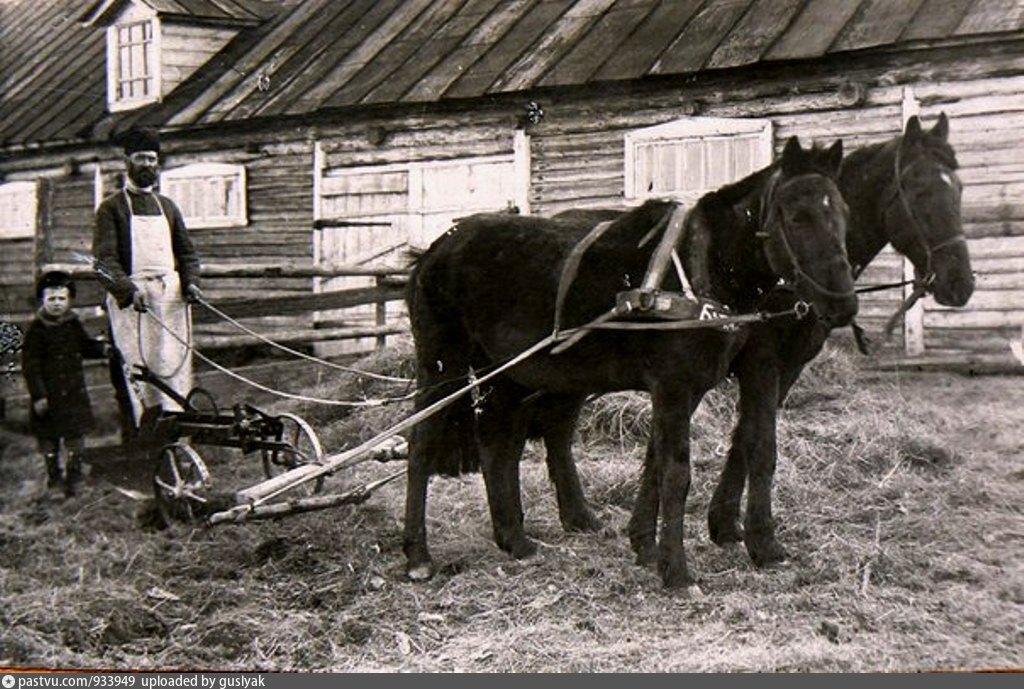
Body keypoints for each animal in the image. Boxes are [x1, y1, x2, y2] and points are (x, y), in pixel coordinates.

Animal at [403, 137, 860, 589]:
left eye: (842, 212)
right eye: (796, 216)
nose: (842, 304)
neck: (702, 269)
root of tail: (435, 249)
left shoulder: (713, 380)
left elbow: (700, 456)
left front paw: (669, 546)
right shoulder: (676, 385)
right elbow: (675, 471)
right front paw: (676, 570)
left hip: (507, 374)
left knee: (498, 444)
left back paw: (515, 539)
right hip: (443, 366)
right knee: (422, 442)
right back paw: (418, 554)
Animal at [540, 115, 970, 569]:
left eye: (959, 188)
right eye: (920, 192)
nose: (961, 283)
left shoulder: (783, 368)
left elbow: (734, 440)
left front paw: (703, 527)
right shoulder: (757, 363)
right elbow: (755, 443)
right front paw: (755, 537)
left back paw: (577, 517)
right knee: (557, 429)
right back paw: (576, 514)